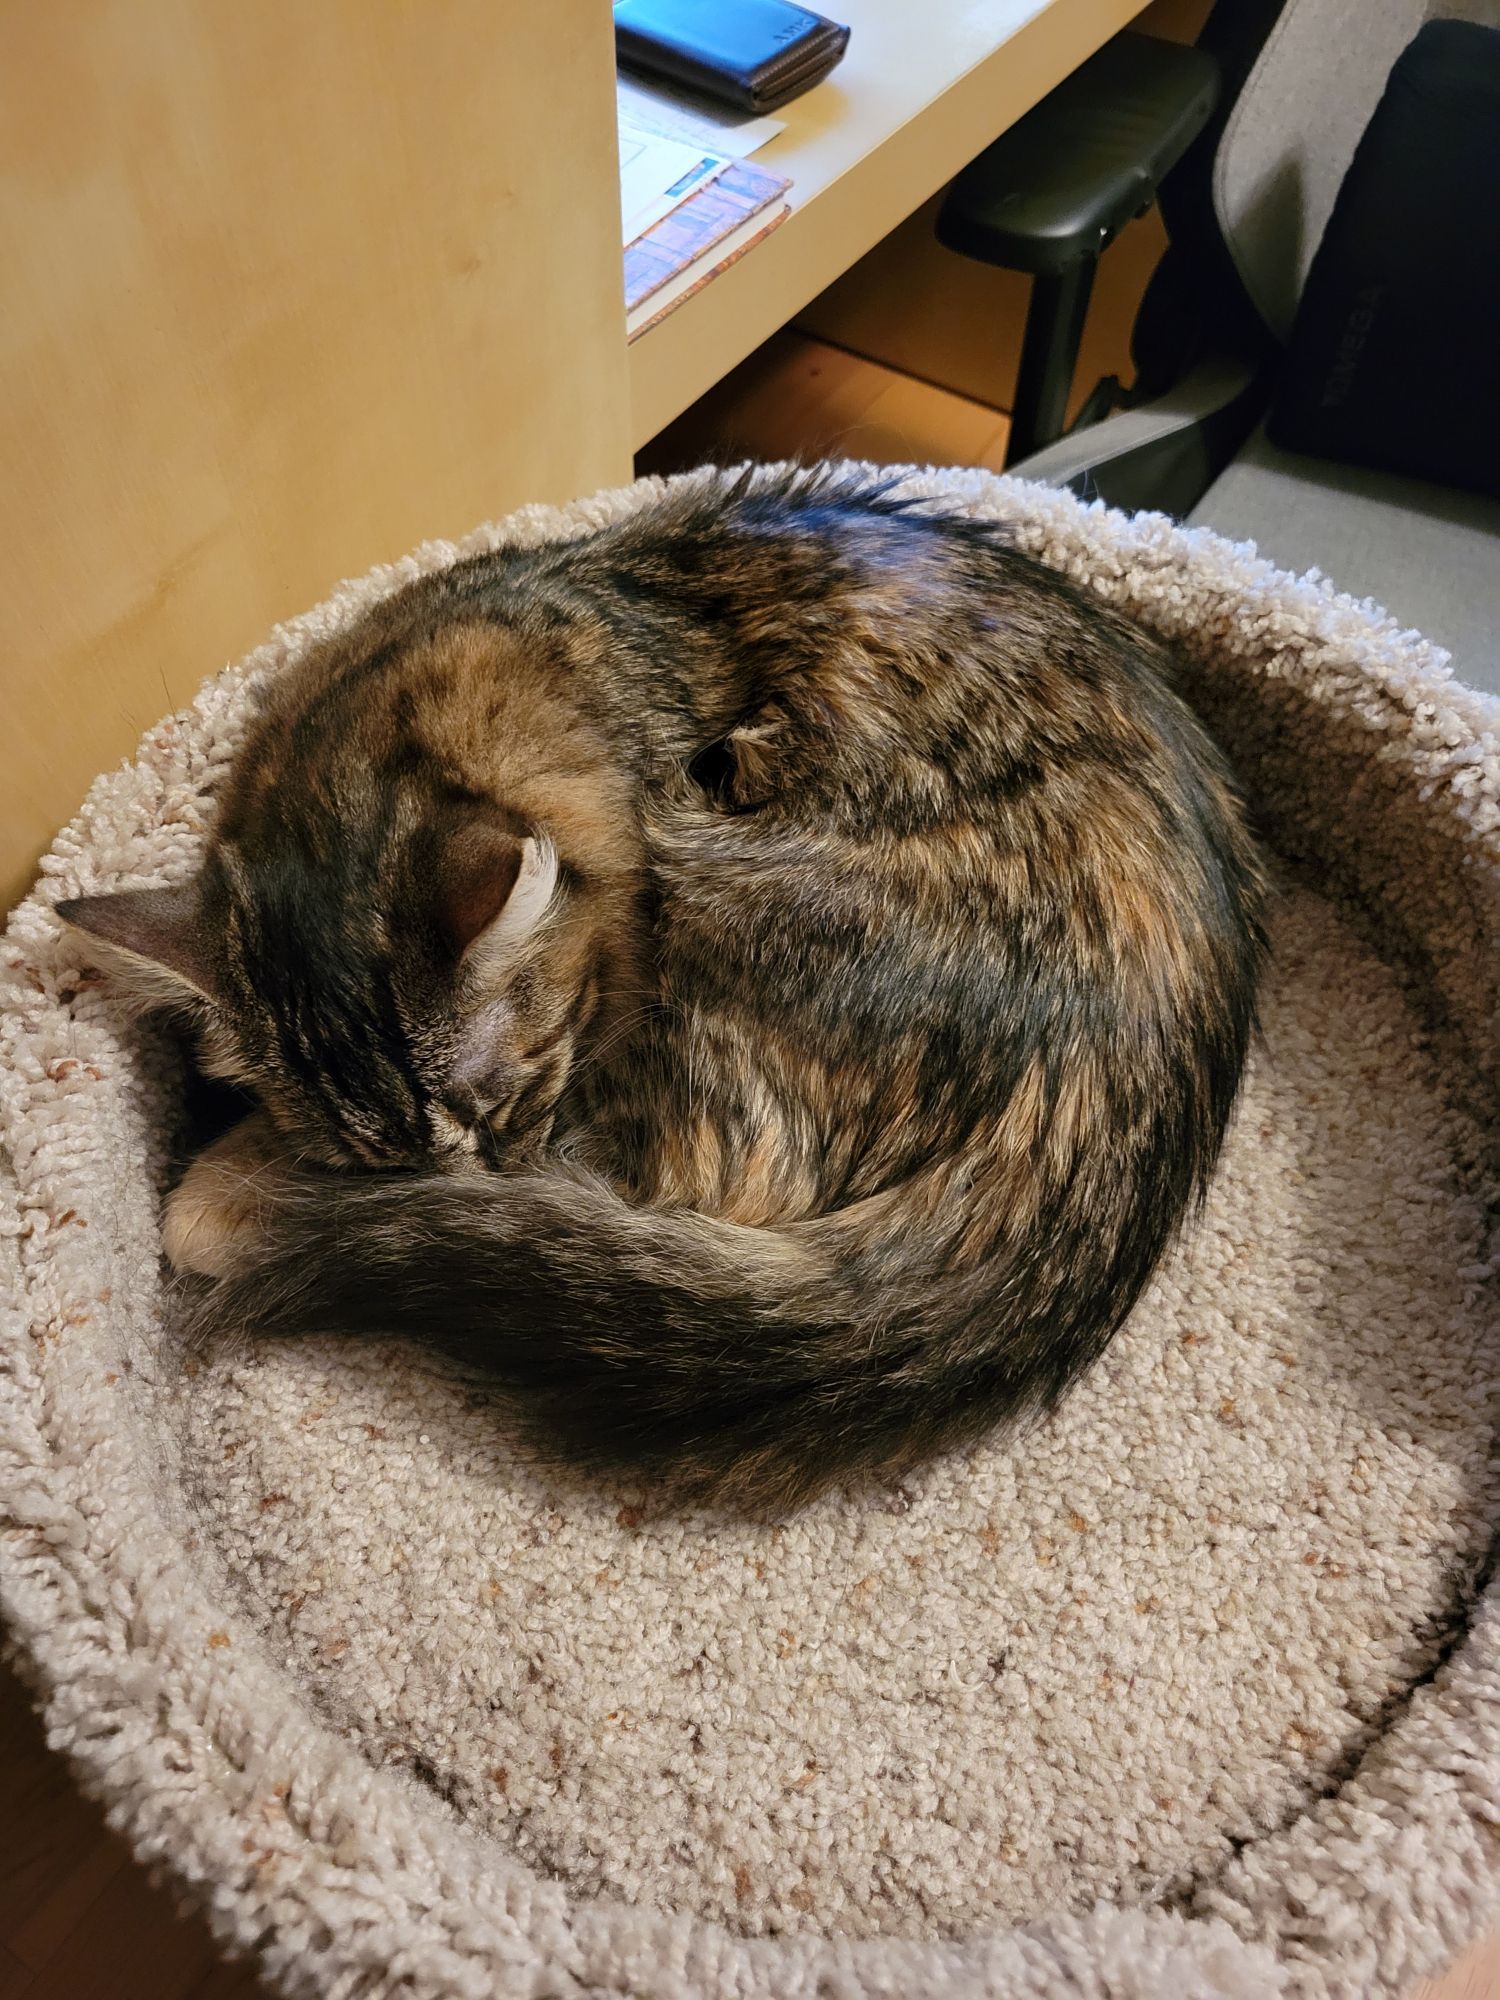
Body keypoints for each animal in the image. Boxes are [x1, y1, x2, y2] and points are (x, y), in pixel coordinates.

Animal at [64, 464, 1272, 1504]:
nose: (466, 1186)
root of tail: (1093, 1126)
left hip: (710, 887)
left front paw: (226, 1196)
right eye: (378, 1165)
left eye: (505, 1101)